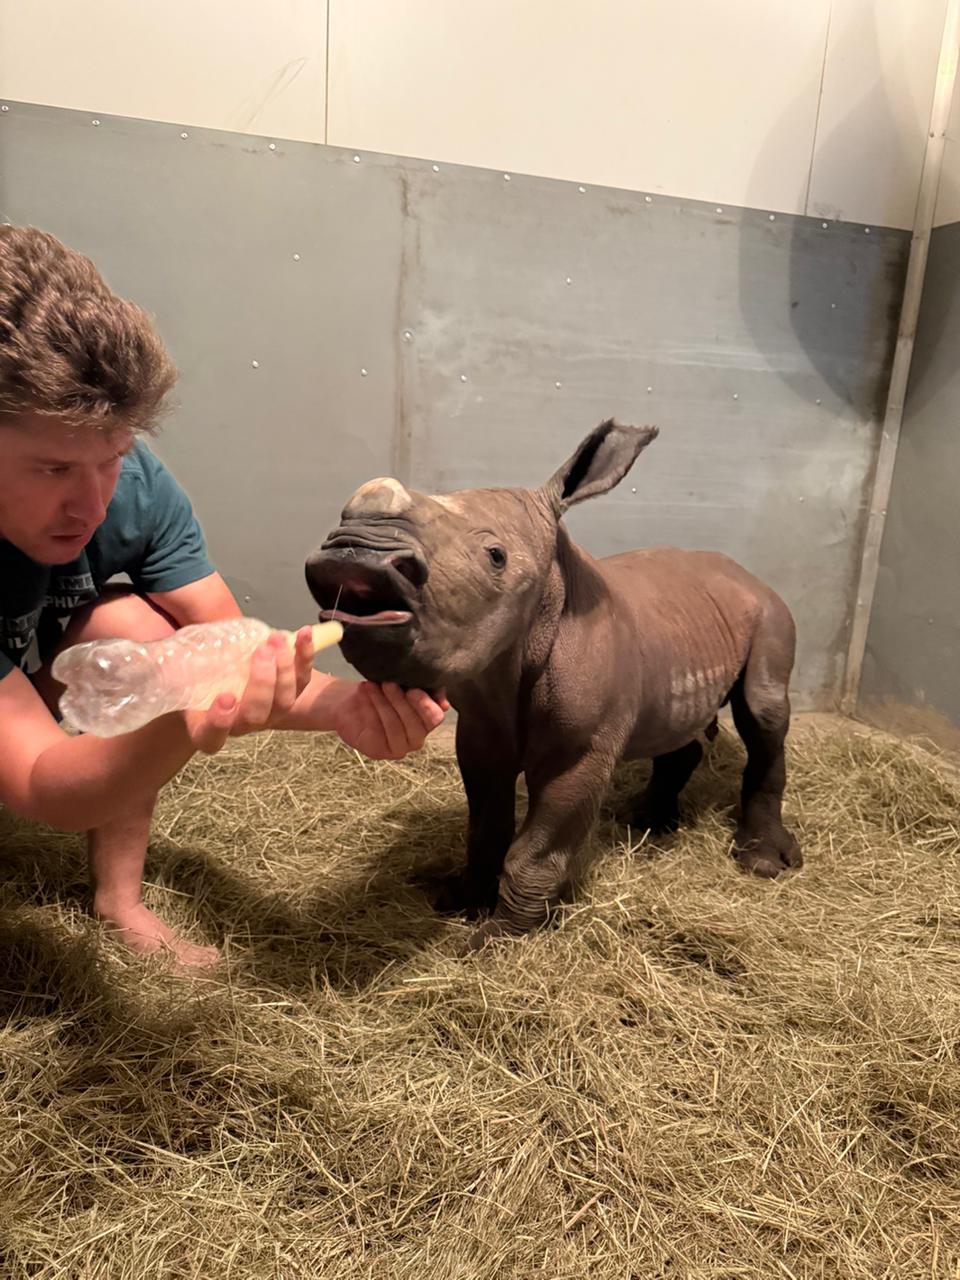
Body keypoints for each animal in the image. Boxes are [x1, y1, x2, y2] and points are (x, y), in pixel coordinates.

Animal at [305, 420, 801, 949]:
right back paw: (647, 822)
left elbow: (536, 848)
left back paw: (762, 863)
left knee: (763, 711)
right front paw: (460, 901)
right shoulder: (479, 730)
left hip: (770, 611)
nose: (352, 552)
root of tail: (744, 572)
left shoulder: (580, 751)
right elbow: (486, 825)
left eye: (496, 557)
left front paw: (498, 939)